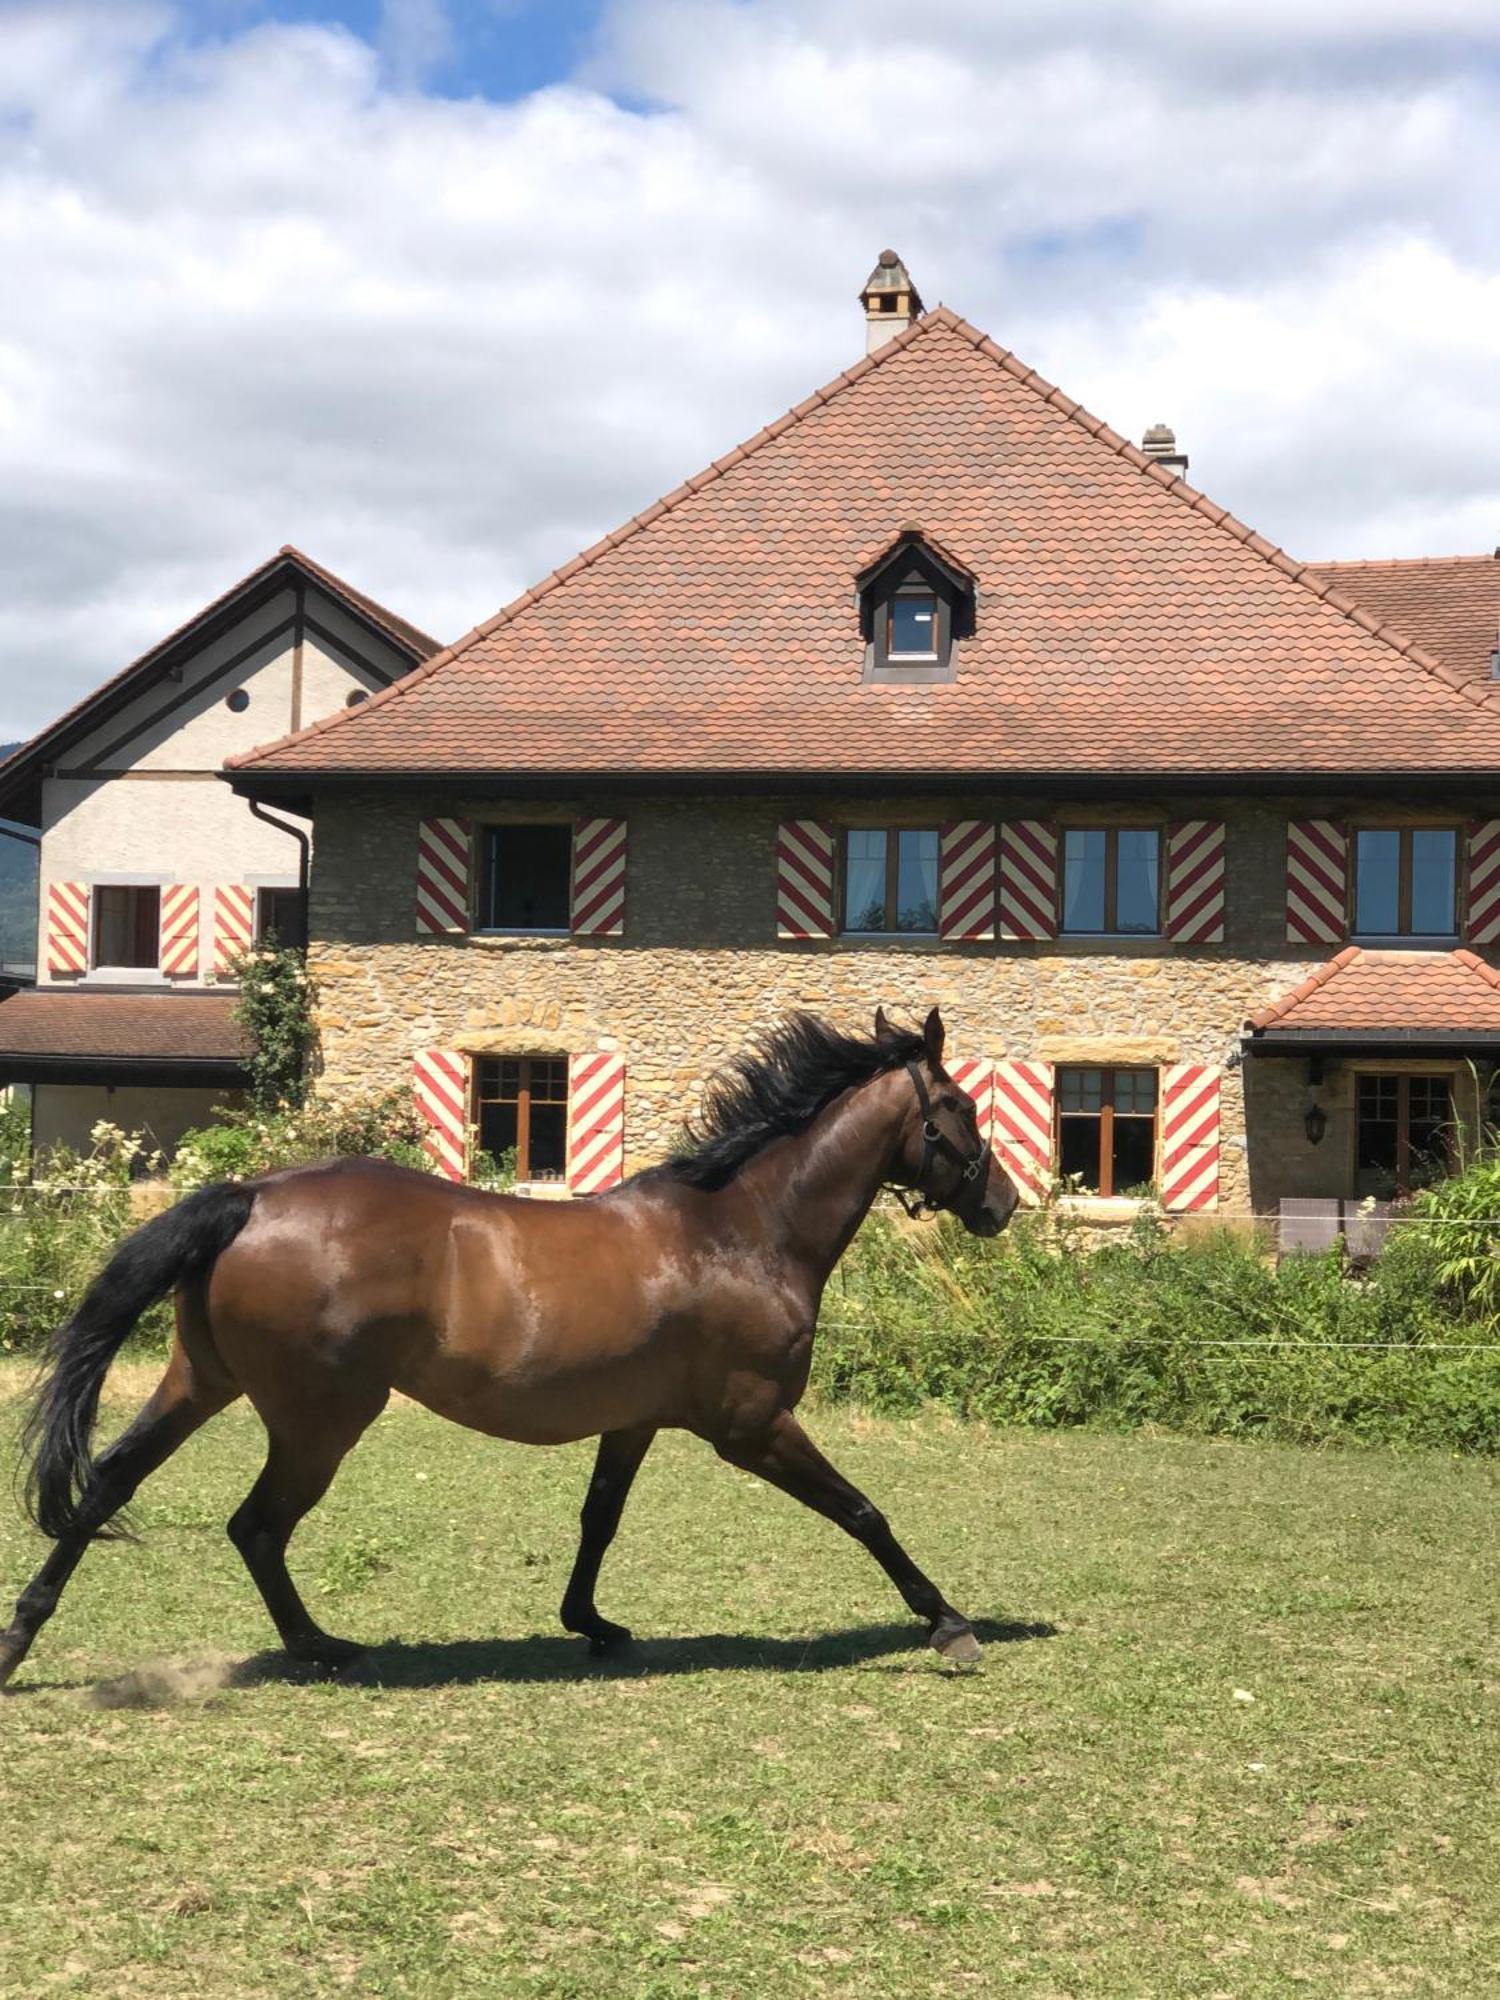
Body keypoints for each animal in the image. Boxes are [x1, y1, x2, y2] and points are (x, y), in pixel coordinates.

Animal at [0, 1000, 1016, 1688]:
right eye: (961, 1107)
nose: (1001, 1204)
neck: (741, 1230)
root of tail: (250, 1195)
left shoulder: (636, 1421)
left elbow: (599, 1519)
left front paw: (591, 1622)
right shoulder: (754, 1425)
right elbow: (864, 1513)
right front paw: (949, 1624)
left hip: (202, 1382)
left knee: (110, 1482)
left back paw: (21, 1637)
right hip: (319, 1420)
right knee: (255, 1525)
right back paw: (321, 1648)